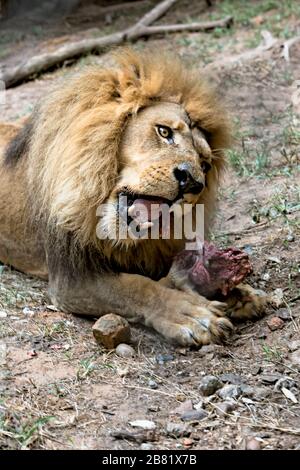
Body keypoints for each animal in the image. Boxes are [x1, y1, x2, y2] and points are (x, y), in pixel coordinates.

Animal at [0, 49, 264, 346]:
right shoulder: (71, 279)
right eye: (164, 132)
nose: (192, 182)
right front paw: (190, 314)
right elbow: (138, 287)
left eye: (205, 165)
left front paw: (238, 292)